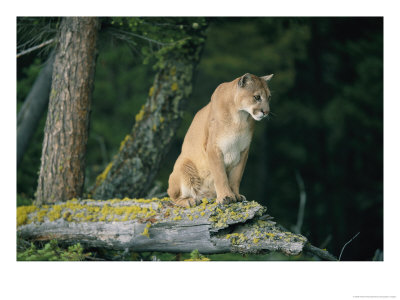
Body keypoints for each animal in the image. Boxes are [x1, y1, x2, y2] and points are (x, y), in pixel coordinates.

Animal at [167, 74, 274, 207]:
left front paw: (236, 195)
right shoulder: (214, 148)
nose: (266, 112)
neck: (240, 117)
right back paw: (190, 200)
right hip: (184, 166)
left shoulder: (243, 150)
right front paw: (226, 197)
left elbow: (236, 176)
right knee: (173, 196)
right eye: (257, 97)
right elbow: (220, 175)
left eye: (269, 97)